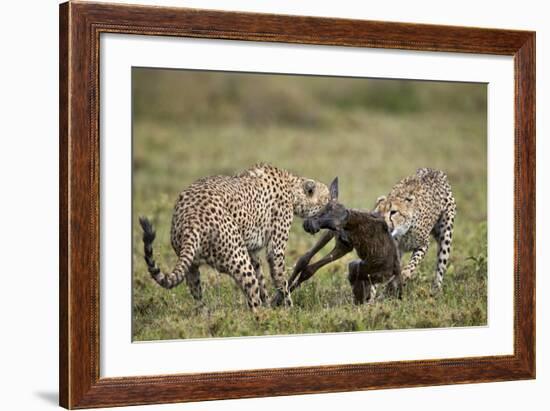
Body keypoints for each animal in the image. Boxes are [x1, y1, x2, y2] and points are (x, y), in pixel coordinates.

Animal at [138, 163, 336, 312]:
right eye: (328, 202)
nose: (334, 207)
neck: (292, 187)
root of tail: (191, 217)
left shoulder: (252, 250)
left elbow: (261, 278)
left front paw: (270, 305)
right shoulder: (274, 250)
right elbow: (280, 279)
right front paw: (288, 310)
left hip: (192, 264)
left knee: (198, 295)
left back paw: (206, 317)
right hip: (238, 258)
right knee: (252, 298)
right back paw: (261, 320)